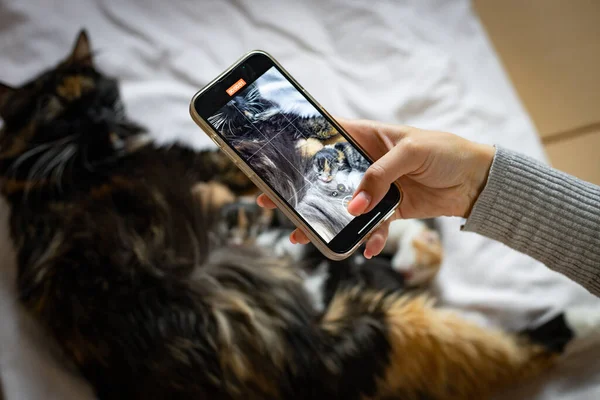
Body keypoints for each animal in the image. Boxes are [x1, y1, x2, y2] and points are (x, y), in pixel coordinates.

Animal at [2, 28, 596, 400]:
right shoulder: (220, 166)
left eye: (97, 91)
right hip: (375, 327)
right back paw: (581, 321)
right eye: (61, 105)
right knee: (495, 348)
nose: (103, 114)